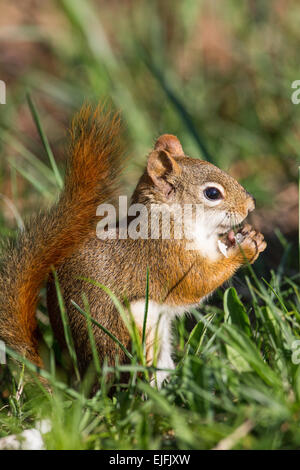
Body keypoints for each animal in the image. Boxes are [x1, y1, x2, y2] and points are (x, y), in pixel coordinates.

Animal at [0, 104, 268, 388]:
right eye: (212, 194)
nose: (250, 206)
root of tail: (80, 382)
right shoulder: (164, 258)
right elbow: (197, 282)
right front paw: (244, 250)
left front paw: (252, 237)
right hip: (136, 328)